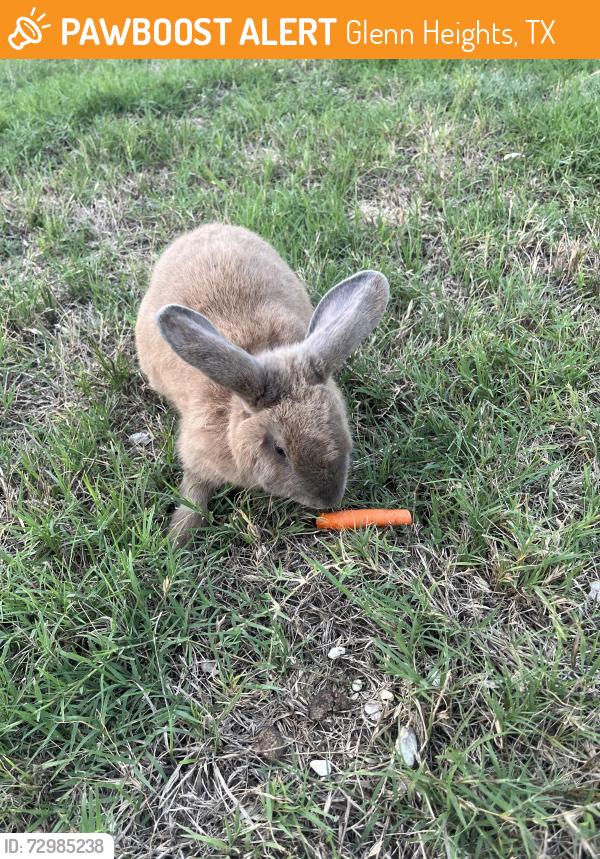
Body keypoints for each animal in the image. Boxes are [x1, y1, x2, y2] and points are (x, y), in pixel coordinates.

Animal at [135, 223, 389, 544]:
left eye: (340, 423)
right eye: (279, 449)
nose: (329, 500)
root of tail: (208, 228)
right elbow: (194, 494)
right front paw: (177, 540)